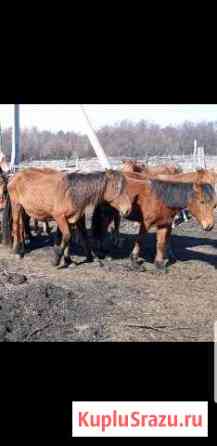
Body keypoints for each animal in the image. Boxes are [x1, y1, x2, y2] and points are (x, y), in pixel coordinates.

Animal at [2, 166, 131, 264]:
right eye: (117, 187)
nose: (128, 209)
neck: (72, 193)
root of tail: (14, 176)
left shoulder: (76, 218)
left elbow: (80, 236)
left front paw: (70, 259)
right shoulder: (59, 217)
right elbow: (67, 236)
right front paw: (57, 258)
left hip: (24, 209)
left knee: (21, 226)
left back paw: (23, 246)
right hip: (16, 205)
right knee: (16, 226)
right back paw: (17, 251)